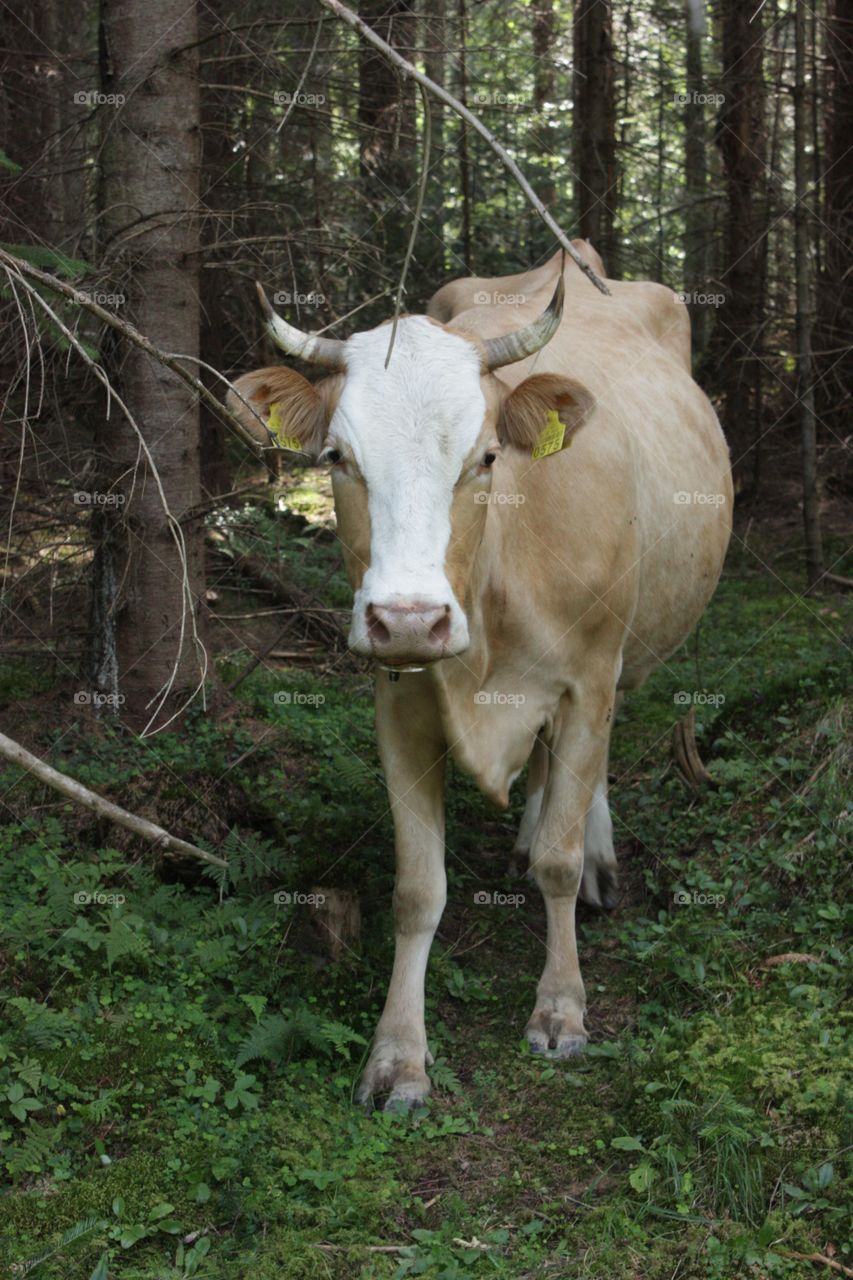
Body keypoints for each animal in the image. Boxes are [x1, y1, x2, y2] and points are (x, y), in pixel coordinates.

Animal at [227, 241, 732, 1111]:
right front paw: (397, 1056)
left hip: (623, 658)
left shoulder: (588, 679)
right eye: (337, 458)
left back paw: (591, 854)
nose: (406, 618)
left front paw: (560, 1007)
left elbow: (561, 857)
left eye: (485, 457)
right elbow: (416, 890)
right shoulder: (396, 702)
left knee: (588, 772)